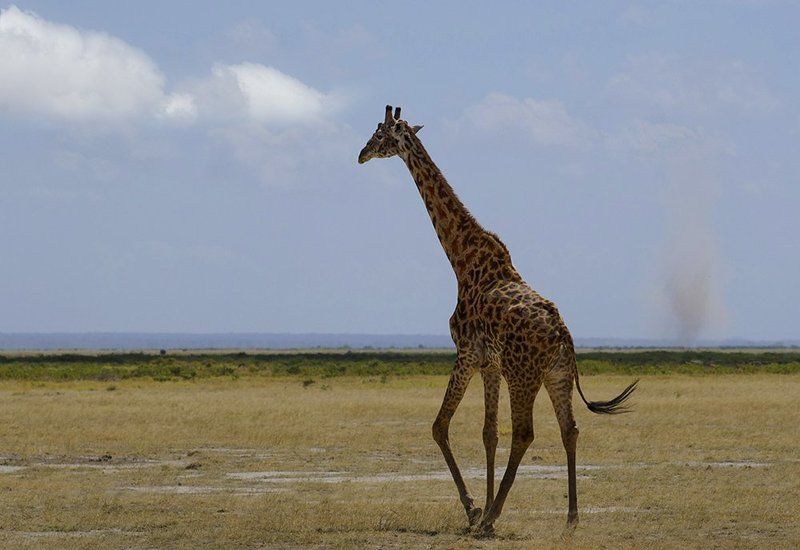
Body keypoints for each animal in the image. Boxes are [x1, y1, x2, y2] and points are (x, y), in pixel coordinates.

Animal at [358, 105, 638, 533]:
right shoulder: (489, 364)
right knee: (569, 430)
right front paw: (480, 508)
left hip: (523, 375)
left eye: (380, 135)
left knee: (524, 432)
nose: (361, 154)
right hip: (555, 375)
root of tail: (564, 335)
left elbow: (440, 426)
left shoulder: (467, 353)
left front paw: (475, 509)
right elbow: (488, 432)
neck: (460, 259)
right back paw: (571, 517)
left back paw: (494, 517)